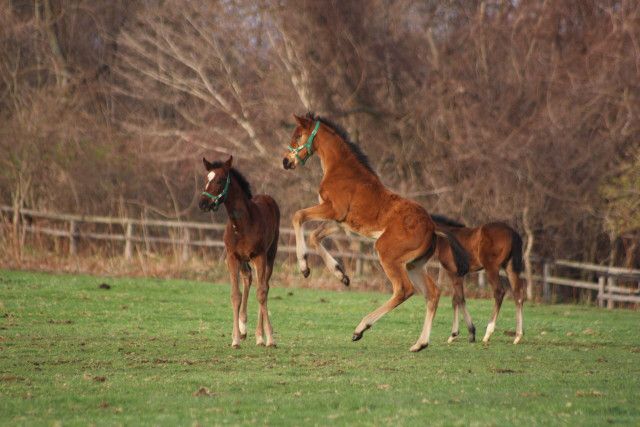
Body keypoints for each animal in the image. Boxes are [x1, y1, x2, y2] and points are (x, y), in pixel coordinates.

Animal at [198, 155, 280, 350]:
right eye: (206, 179)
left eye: (220, 180)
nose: (203, 203)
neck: (242, 225)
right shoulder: (232, 257)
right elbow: (236, 295)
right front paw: (235, 338)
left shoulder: (259, 256)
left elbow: (261, 293)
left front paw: (270, 338)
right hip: (244, 259)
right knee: (248, 278)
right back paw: (243, 328)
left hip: (270, 255)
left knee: (264, 286)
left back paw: (260, 336)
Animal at [282, 113, 470, 352]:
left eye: (298, 135)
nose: (286, 162)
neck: (340, 170)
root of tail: (431, 227)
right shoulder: (340, 222)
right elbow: (314, 236)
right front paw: (341, 275)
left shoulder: (333, 209)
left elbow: (298, 216)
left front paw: (304, 267)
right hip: (414, 263)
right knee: (433, 293)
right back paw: (419, 343)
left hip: (387, 252)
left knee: (404, 289)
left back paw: (360, 328)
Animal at [430, 216, 524, 346]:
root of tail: (513, 233)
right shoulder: (458, 274)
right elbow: (455, 300)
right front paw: (453, 335)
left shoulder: (453, 273)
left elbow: (460, 299)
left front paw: (469, 333)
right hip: (510, 267)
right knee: (518, 294)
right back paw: (518, 336)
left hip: (491, 268)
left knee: (499, 292)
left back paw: (487, 334)